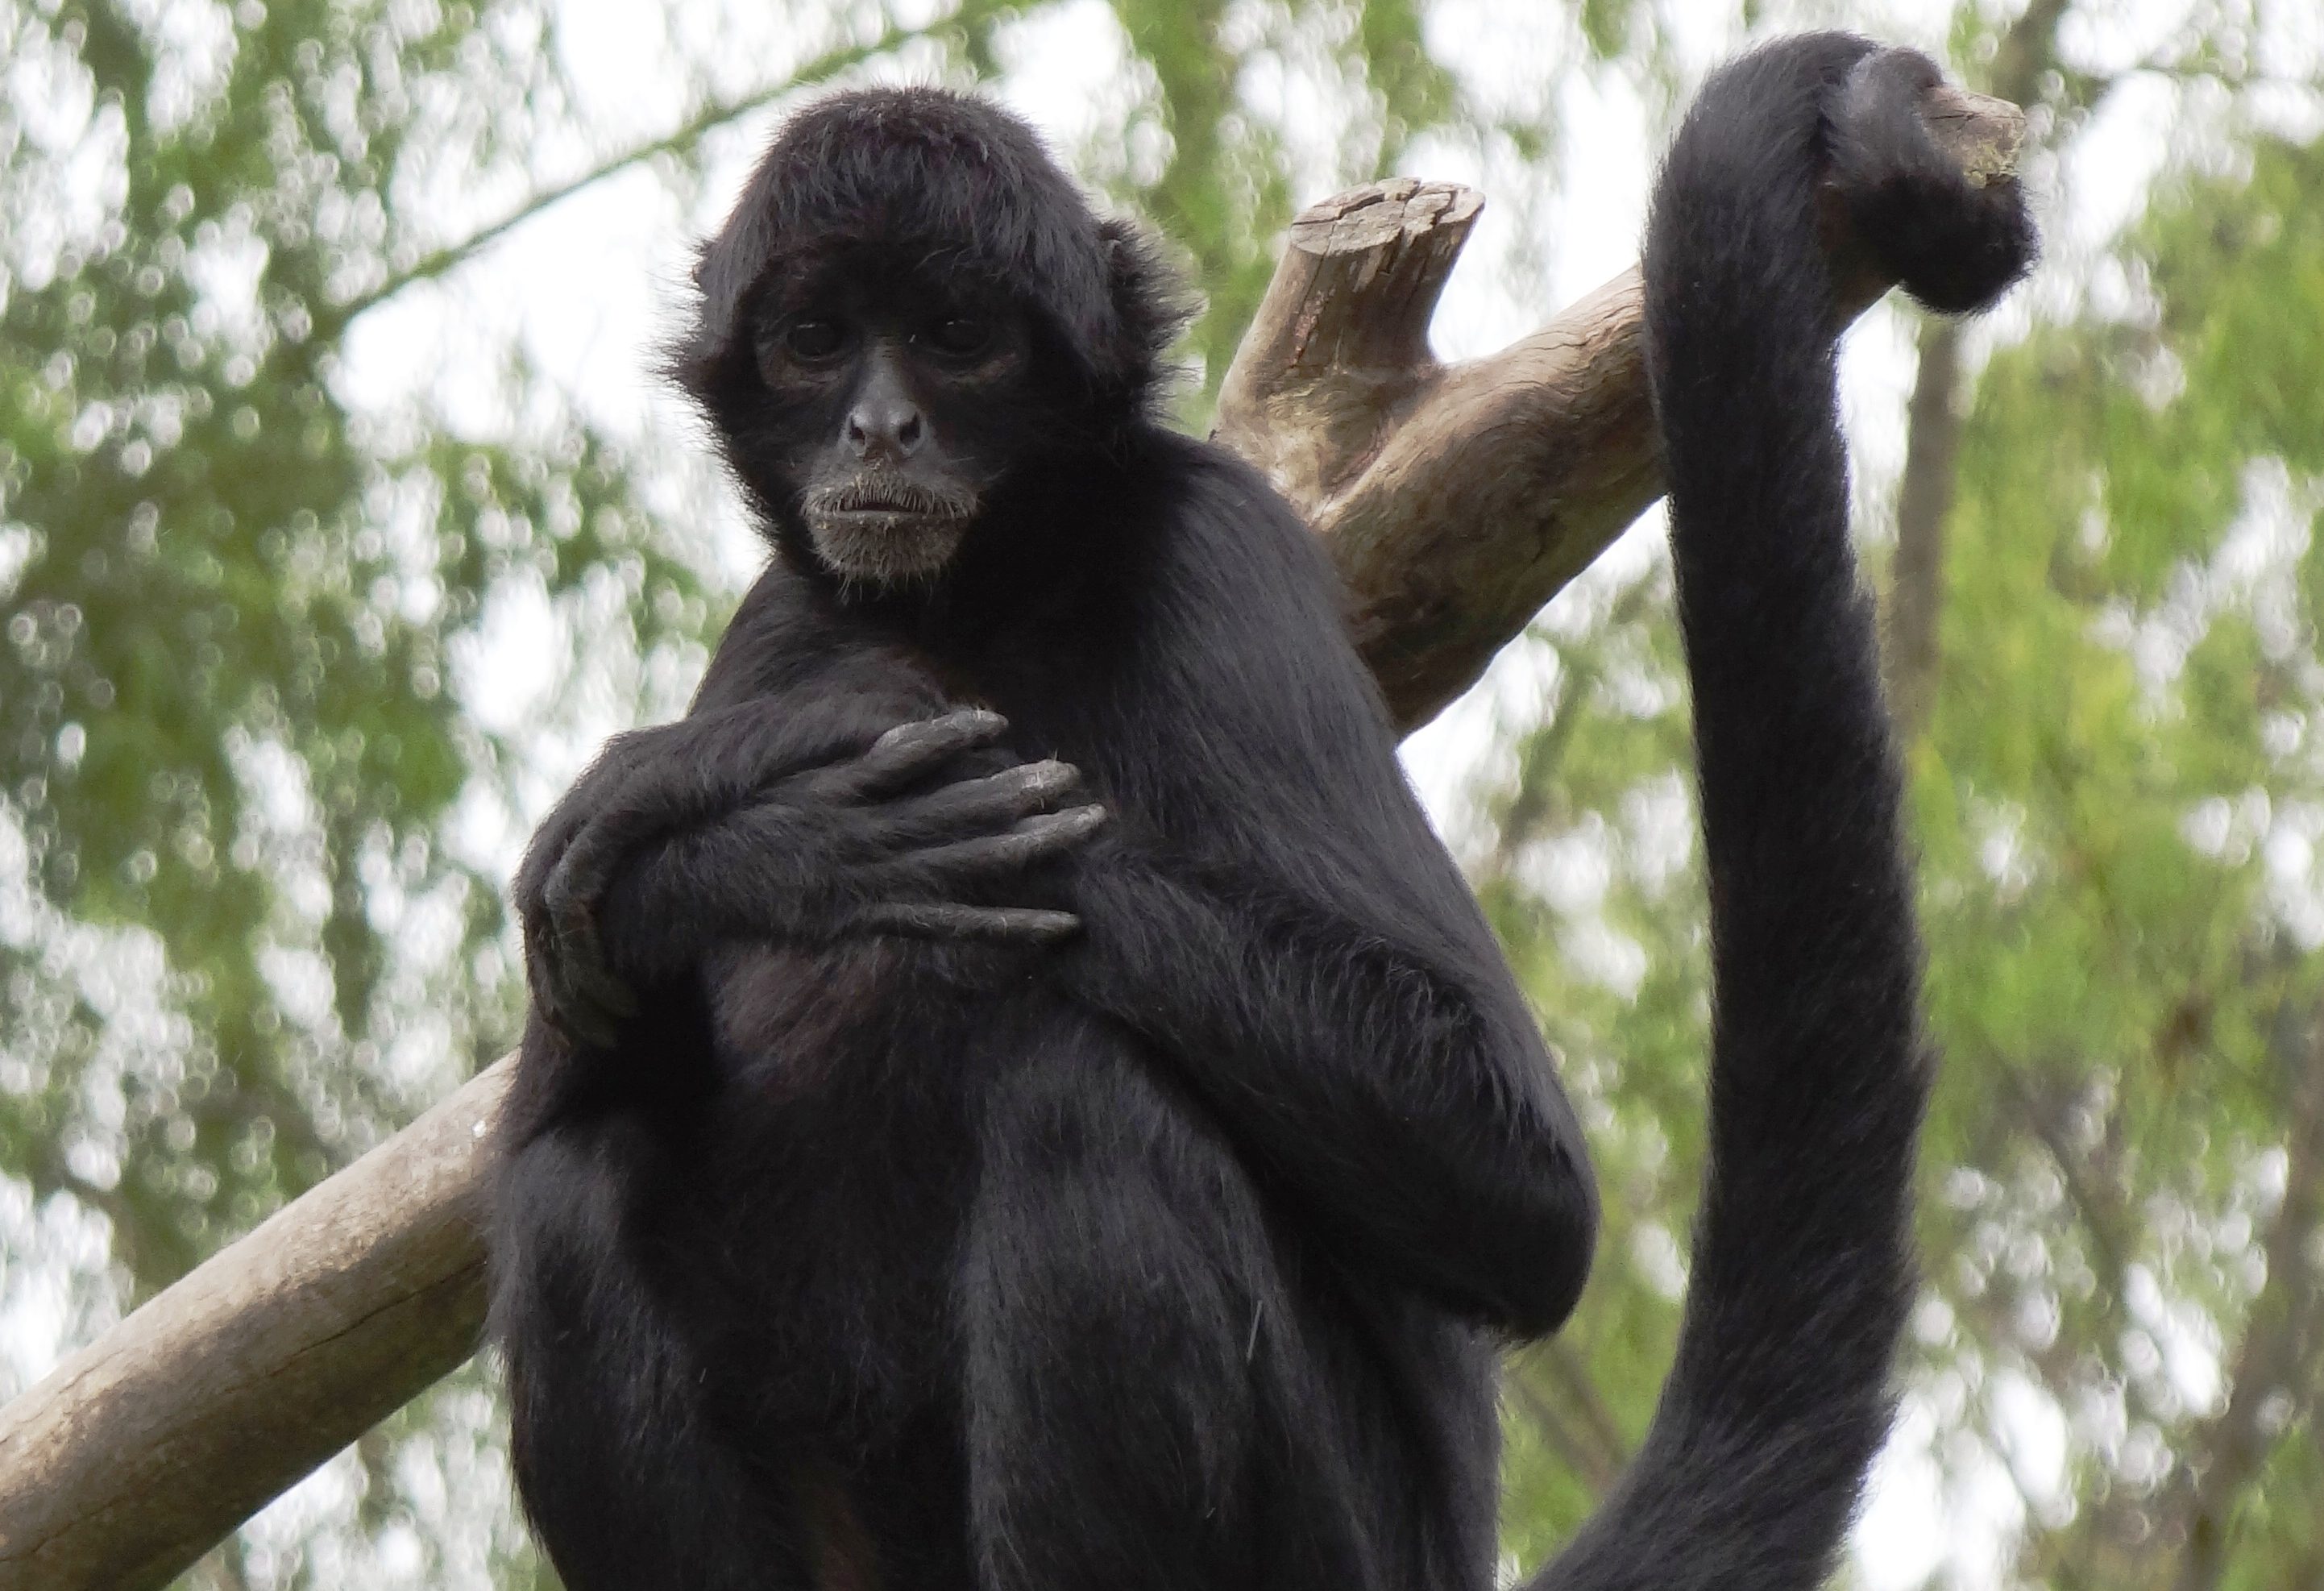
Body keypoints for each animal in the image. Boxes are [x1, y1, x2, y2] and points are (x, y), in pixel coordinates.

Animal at [488, 32, 2034, 1591]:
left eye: (953, 331)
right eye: (814, 338)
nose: (879, 422)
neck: (978, 609)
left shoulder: (1212, 549)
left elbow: (1521, 1189)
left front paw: (774, 797)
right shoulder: (777, 620)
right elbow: (557, 1081)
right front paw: (761, 843)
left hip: (1337, 1533)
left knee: (1083, 1093)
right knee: (573, 1192)